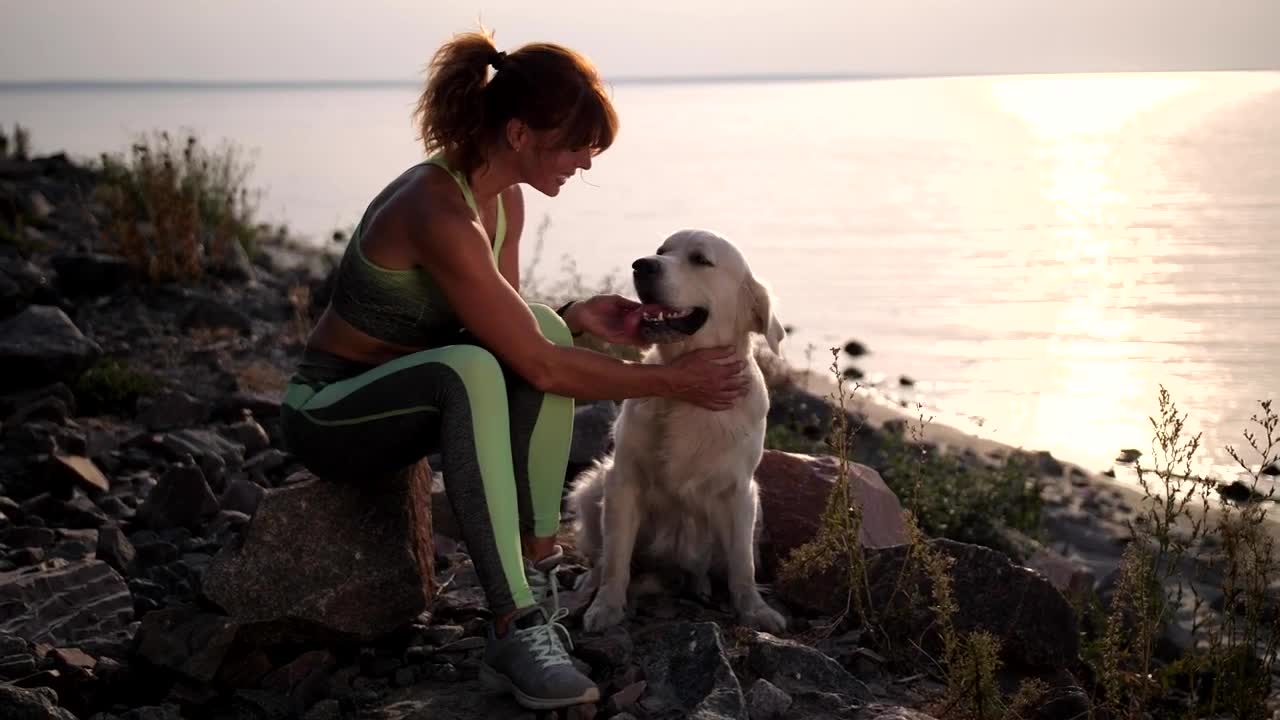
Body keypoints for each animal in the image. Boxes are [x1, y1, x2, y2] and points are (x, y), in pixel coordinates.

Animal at [568, 226, 783, 630]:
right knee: (602, 554)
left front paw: (755, 610)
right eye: (661, 250)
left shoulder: (740, 492)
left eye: (700, 259)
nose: (642, 265)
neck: (687, 400)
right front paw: (606, 606)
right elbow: (616, 557)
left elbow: (743, 566)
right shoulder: (624, 481)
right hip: (594, 486)